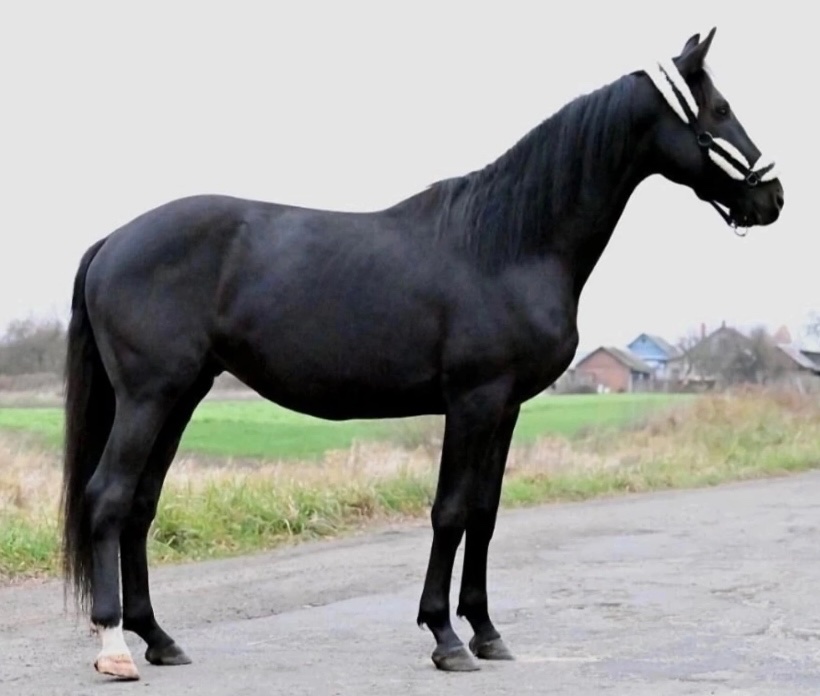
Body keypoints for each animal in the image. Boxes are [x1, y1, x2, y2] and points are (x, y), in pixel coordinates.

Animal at [60, 26, 783, 680]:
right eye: (720, 111)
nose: (771, 198)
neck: (509, 244)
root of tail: (112, 241)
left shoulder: (507, 408)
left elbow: (485, 515)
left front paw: (487, 632)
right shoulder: (472, 402)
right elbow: (450, 511)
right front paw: (445, 637)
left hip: (183, 394)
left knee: (141, 505)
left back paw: (160, 638)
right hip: (150, 396)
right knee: (108, 496)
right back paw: (115, 646)